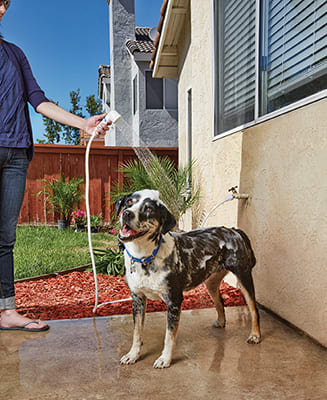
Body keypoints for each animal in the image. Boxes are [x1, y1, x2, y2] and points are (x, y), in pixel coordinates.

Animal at [115, 189, 262, 368]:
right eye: (129, 202)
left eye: (149, 209)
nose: (126, 213)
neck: (145, 257)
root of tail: (234, 230)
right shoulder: (137, 299)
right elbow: (137, 333)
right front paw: (133, 355)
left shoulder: (174, 301)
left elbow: (169, 336)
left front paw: (165, 359)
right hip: (211, 282)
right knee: (220, 301)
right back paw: (221, 322)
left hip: (244, 276)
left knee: (254, 309)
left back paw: (255, 335)